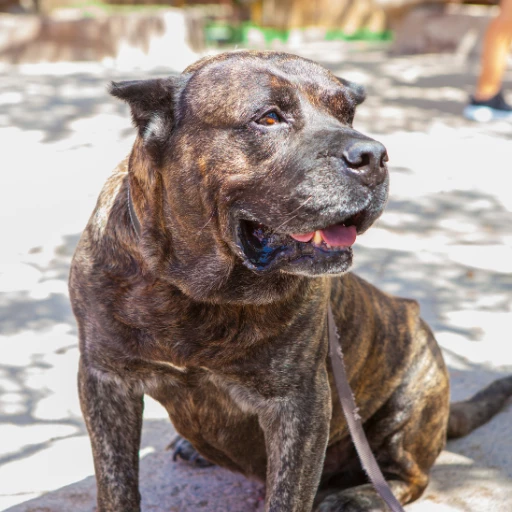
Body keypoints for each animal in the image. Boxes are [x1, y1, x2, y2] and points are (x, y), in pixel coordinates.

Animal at [69, 49, 512, 512]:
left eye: (347, 113)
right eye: (268, 118)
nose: (373, 155)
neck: (197, 293)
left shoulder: (300, 406)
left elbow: (288, 495)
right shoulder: (105, 381)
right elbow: (116, 484)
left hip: (411, 401)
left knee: (409, 476)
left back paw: (355, 497)